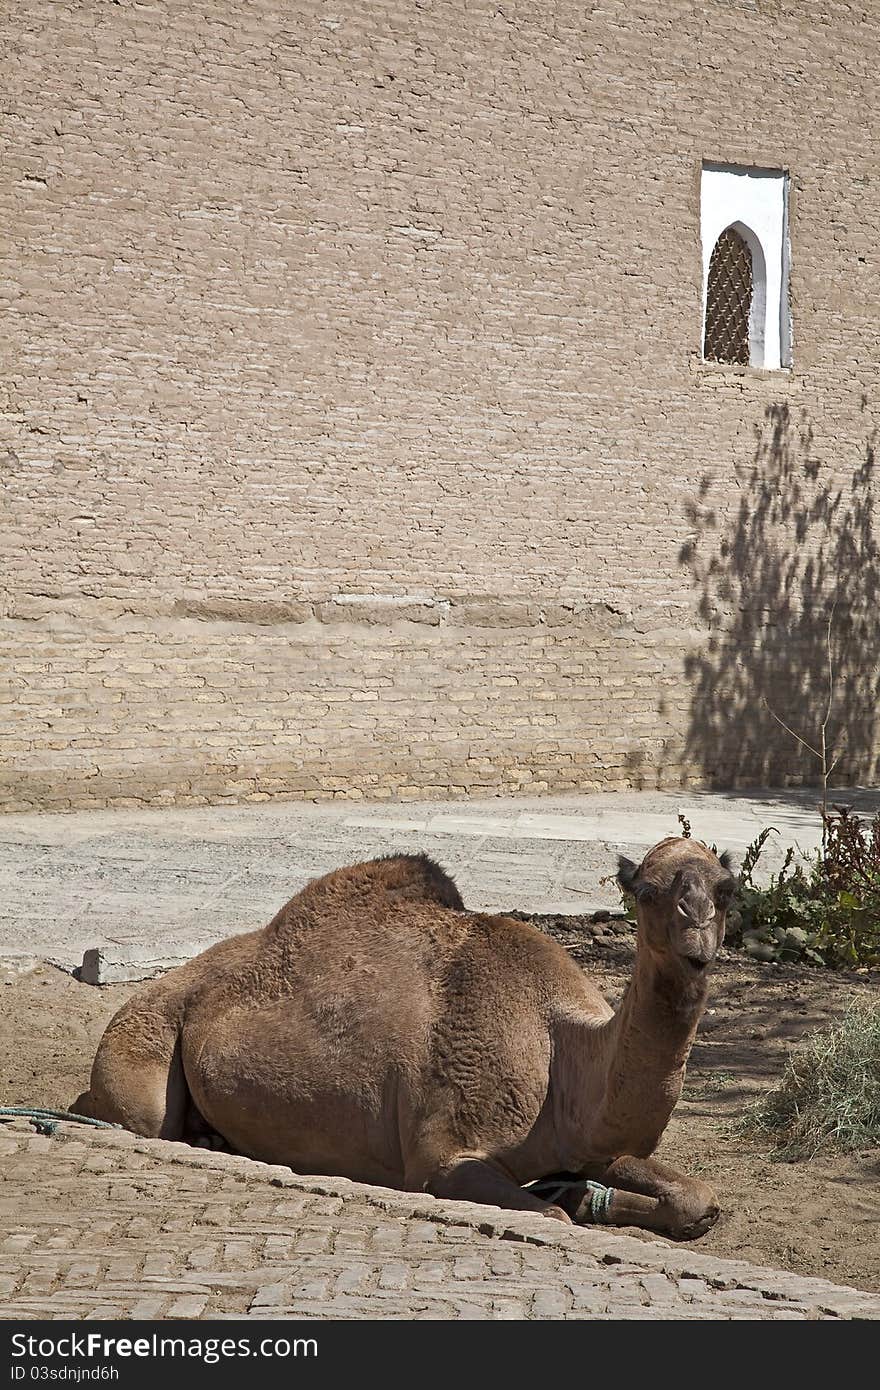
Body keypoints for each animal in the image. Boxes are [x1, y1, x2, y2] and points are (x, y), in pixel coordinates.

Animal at [73, 834, 734, 1239]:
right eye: (647, 891)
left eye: (726, 890)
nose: (697, 939)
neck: (561, 1048)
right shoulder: (443, 1159)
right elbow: (554, 1218)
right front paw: (573, 1205)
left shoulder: (587, 1141)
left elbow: (698, 1198)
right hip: (143, 1039)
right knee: (144, 1117)